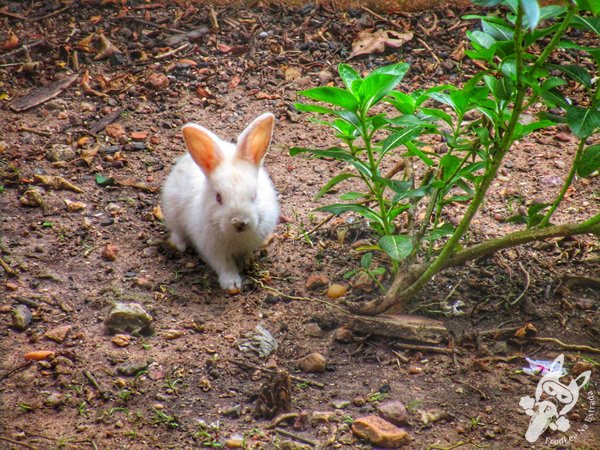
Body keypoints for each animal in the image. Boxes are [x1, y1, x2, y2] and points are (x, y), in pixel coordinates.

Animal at [161, 112, 280, 294]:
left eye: (255, 195)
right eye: (218, 197)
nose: (240, 222)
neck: (237, 237)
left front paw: (246, 262)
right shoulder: (213, 251)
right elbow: (225, 266)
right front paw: (232, 284)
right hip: (171, 210)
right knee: (176, 231)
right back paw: (179, 245)